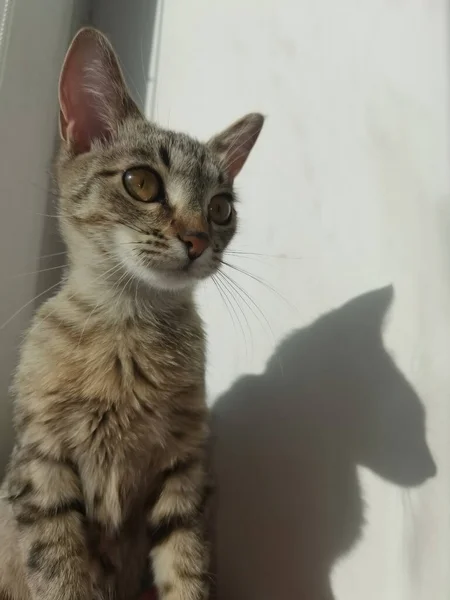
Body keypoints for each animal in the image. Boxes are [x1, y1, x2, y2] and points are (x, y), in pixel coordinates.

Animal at [0, 27, 264, 600]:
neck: (128, 331)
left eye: (221, 208)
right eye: (141, 183)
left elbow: (186, 567)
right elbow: (59, 572)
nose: (198, 239)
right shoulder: (42, 466)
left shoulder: (184, 472)